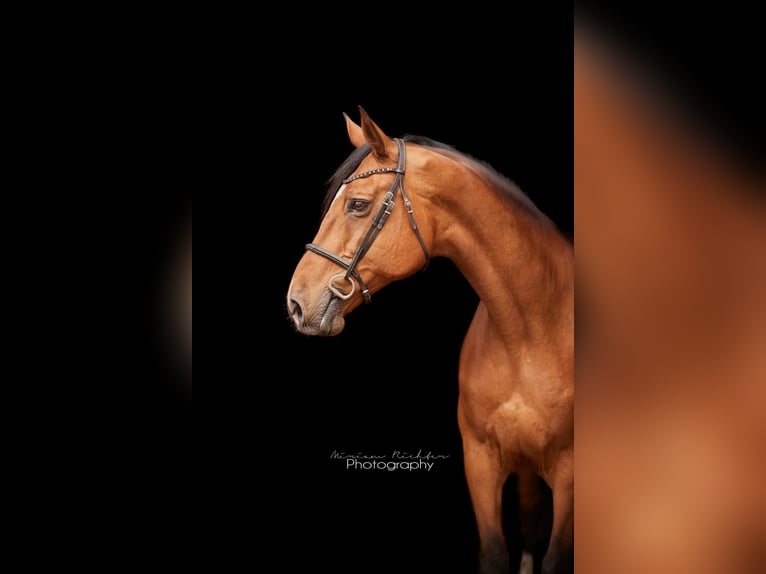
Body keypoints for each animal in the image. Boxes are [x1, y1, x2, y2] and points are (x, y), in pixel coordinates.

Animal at [287, 108, 574, 574]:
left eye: (357, 204)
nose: (295, 302)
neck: (531, 331)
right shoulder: (480, 460)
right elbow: (495, 553)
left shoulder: (569, 473)